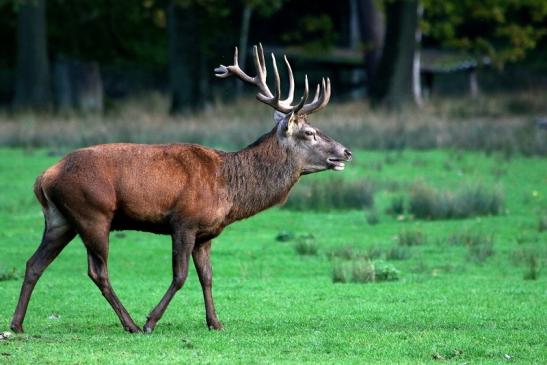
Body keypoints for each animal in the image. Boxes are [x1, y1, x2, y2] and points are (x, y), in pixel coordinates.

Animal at [10, 43, 354, 332]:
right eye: (309, 132)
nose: (346, 152)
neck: (229, 189)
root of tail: (44, 177)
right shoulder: (183, 221)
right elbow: (180, 276)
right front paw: (151, 321)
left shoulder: (206, 233)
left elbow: (208, 277)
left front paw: (215, 323)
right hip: (92, 213)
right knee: (98, 271)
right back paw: (131, 324)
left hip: (60, 219)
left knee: (33, 263)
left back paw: (17, 324)